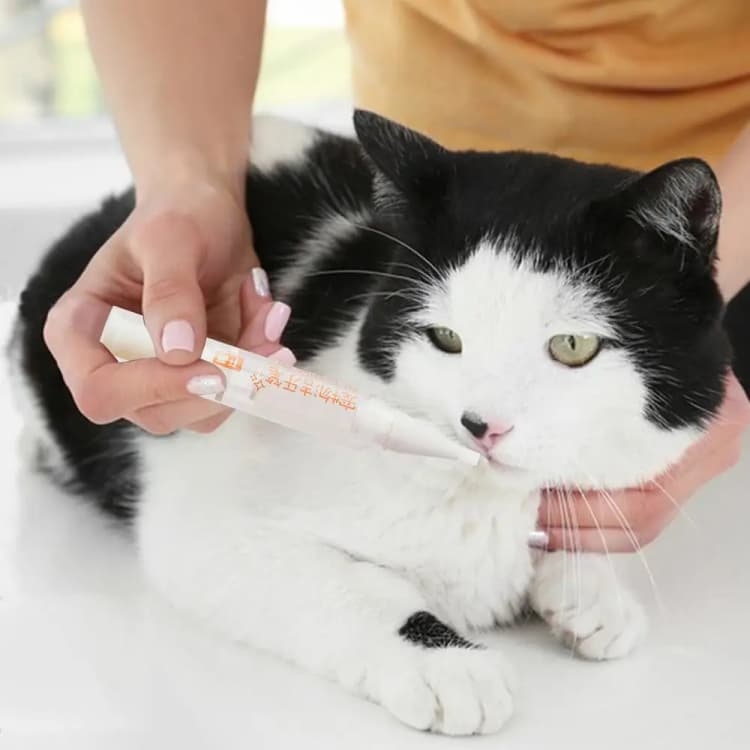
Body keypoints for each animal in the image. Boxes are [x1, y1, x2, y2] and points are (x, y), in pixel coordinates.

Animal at [7, 110, 736, 736]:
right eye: (444, 338)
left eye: (573, 347)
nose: (481, 426)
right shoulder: (205, 520)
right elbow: (349, 583)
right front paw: (447, 664)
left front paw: (590, 587)